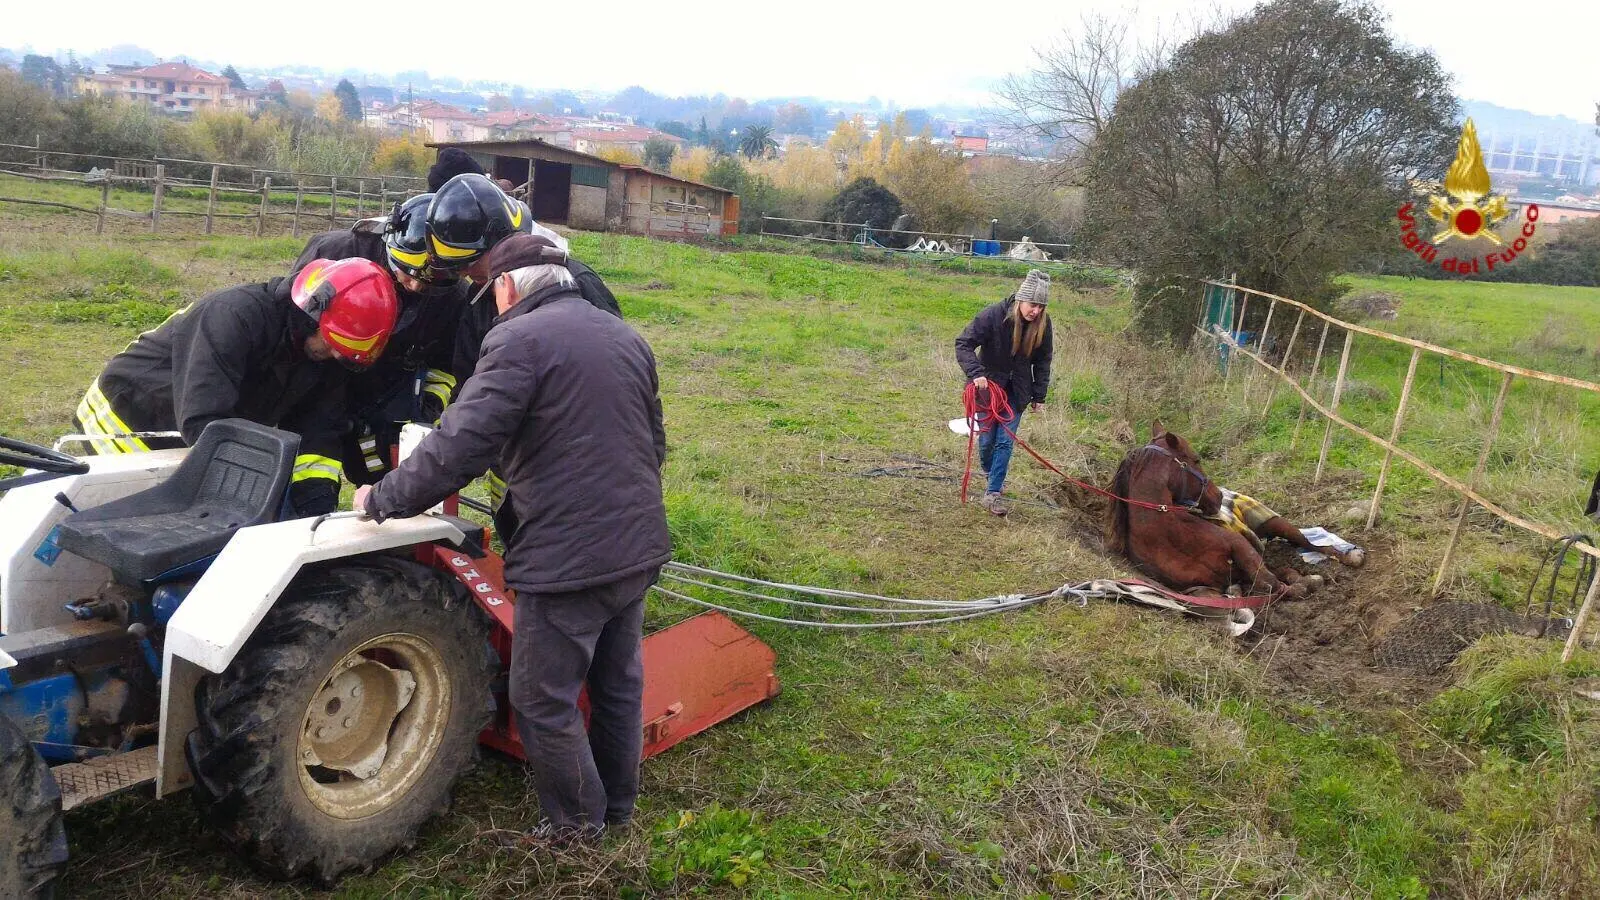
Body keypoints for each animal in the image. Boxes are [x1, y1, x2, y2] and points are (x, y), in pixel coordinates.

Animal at [1107, 422, 1331, 602]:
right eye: (1197, 460)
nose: (1219, 496)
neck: (1170, 534)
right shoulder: (1202, 588)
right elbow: (1266, 584)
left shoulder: (1242, 549)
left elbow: (1272, 582)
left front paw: (1307, 582)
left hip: (1278, 524)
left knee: (1312, 544)